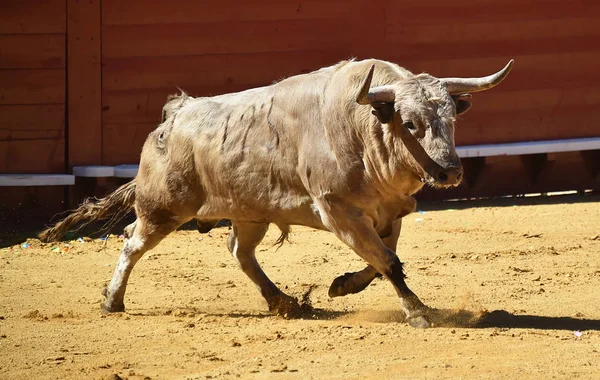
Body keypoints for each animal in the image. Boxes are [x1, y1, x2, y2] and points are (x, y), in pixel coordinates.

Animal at [39, 58, 512, 326]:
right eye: (409, 123)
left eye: (452, 118)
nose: (450, 172)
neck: (363, 131)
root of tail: (175, 115)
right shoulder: (338, 211)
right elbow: (388, 263)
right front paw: (417, 312)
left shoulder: (389, 212)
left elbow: (382, 261)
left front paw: (342, 286)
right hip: (163, 209)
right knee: (132, 244)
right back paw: (112, 301)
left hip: (250, 214)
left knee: (240, 252)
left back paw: (283, 301)